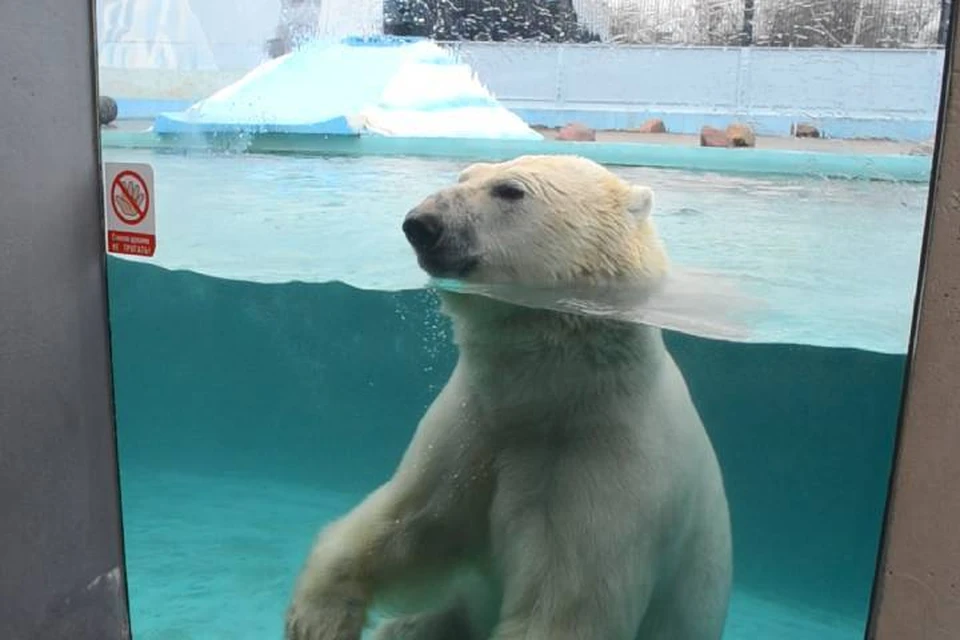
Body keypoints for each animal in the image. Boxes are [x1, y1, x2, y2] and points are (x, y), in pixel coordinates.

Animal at [284, 155, 736, 640]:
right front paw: (317, 618)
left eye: (510, 190)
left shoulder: (606, 467)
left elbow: (562, 604)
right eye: (464, 176)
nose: (421, 223)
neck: (545, 397)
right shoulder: (473, 424)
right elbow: (410, 520)